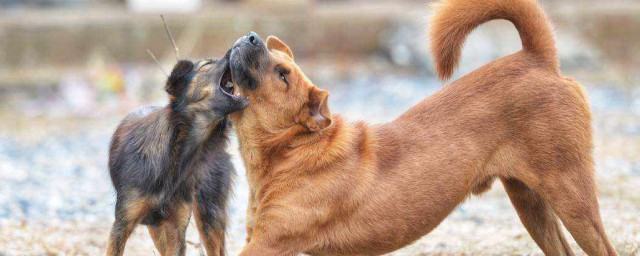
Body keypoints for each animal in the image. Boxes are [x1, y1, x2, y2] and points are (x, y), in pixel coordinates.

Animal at [107, 52, 248, 256]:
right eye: (206, 64)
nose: (237, 47)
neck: (177, 155)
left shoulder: (176, 229)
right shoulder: (122, 225)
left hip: (208, 214)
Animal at [228, 0, 616, 254]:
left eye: (283, 74)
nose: (250, 36)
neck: (290, 150)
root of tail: (536, 59)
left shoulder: (268, 244)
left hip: (571, 197)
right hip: (530, 202)